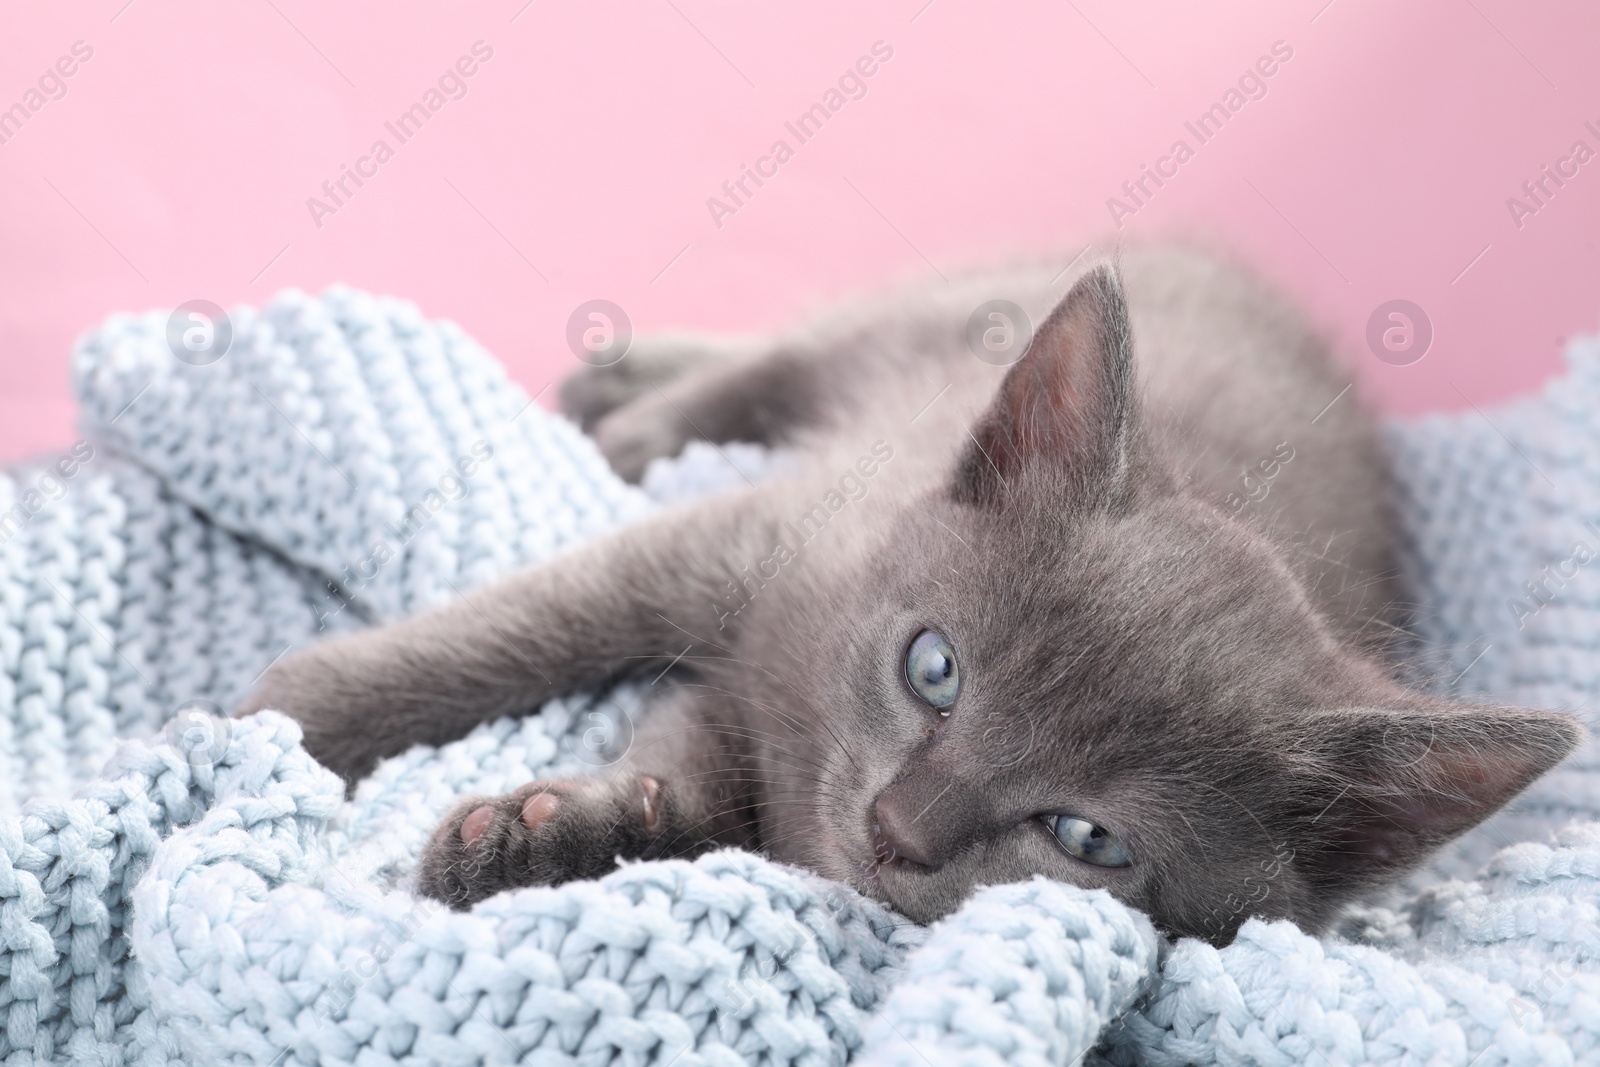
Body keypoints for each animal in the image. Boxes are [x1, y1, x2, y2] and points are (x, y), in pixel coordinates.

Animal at [236, 247, 1574, 940]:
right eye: (935, 668)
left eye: (1087, 839)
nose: (899, 826)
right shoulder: (755, 538)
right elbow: (545, 620)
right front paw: (283, 717)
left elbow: (700, 767)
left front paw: (563, 830)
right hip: (945, 310)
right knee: (792, 348)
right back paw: (641, 403)